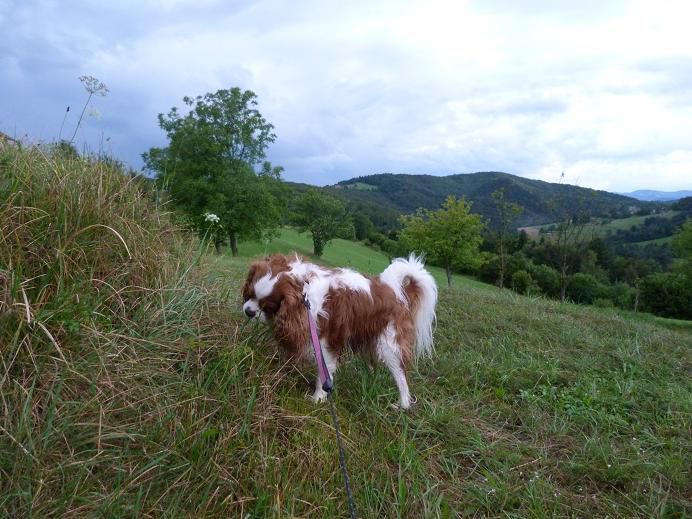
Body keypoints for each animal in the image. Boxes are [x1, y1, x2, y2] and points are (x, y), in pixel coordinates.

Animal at [241, 254, 436, 408]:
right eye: (249, 294)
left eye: (267, 306)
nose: (248, 311)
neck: (303, 290)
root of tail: (396, 291)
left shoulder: (327, 342)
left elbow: (324, 373)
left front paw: (318, 399)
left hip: (389, 345)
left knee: (401, 375)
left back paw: (402, 404)